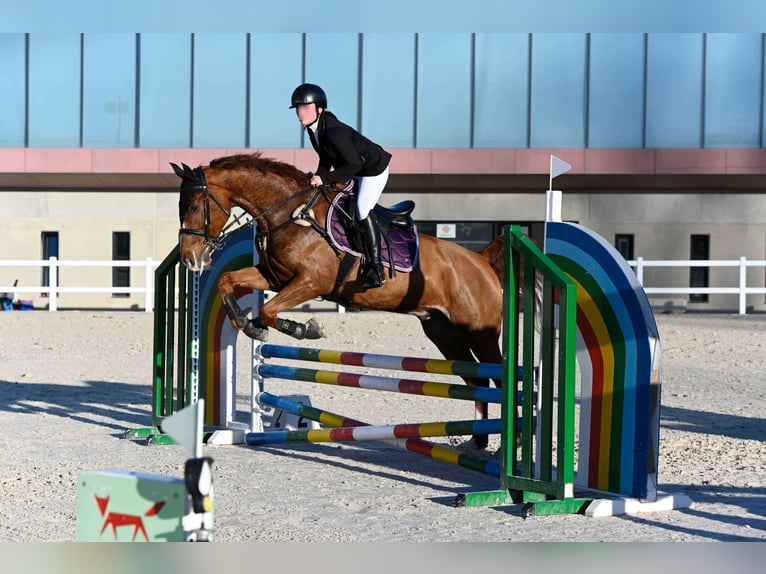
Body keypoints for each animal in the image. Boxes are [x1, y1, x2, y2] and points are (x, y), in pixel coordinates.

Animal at [176, 153, 510, 450]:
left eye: (192, 206)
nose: (190, 259)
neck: (290, 215)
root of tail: (480, 260)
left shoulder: (311, 282)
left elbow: (270, 310)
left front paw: (304, 329)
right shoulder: (274, 278)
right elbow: (227, 281)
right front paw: (248, 323)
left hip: (479, 332)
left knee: (499, 377)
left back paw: (507, 447)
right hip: (442, 331)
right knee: (477, 380)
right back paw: (477, 441)